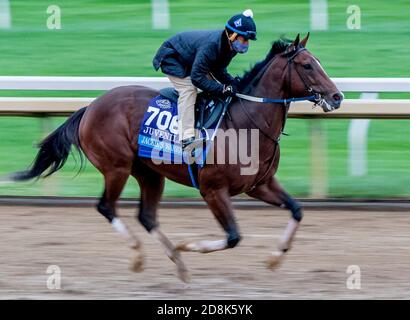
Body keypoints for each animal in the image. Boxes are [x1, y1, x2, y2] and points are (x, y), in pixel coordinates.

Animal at [11, 33, 342, 282]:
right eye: (307, 65)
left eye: (319, 62)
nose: (337, 97)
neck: (247, 123)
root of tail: (89, 107)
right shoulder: (213, 190)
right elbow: (233, 236)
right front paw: (188, 245)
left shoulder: (260, 185)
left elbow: (297, 210)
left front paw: (274, 258)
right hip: (116, 167)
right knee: (106, 207)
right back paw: (140, 255)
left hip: (149, 172)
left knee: (146, 216)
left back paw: (177, 263)